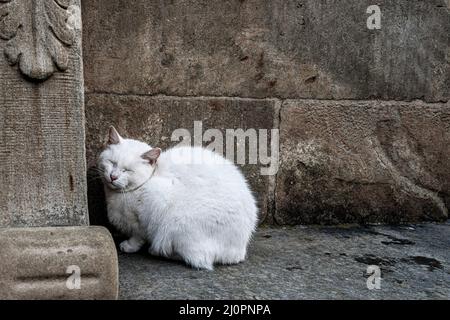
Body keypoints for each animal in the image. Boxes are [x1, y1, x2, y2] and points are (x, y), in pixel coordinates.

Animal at [99, 126, 258, 268]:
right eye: (111, 162)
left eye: (127, 170)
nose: (113, 176)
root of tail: (239, 249)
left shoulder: (149, 210)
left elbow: (138, 235)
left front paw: (129, 246)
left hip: (178, 225)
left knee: (199, 258)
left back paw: (157, 251)